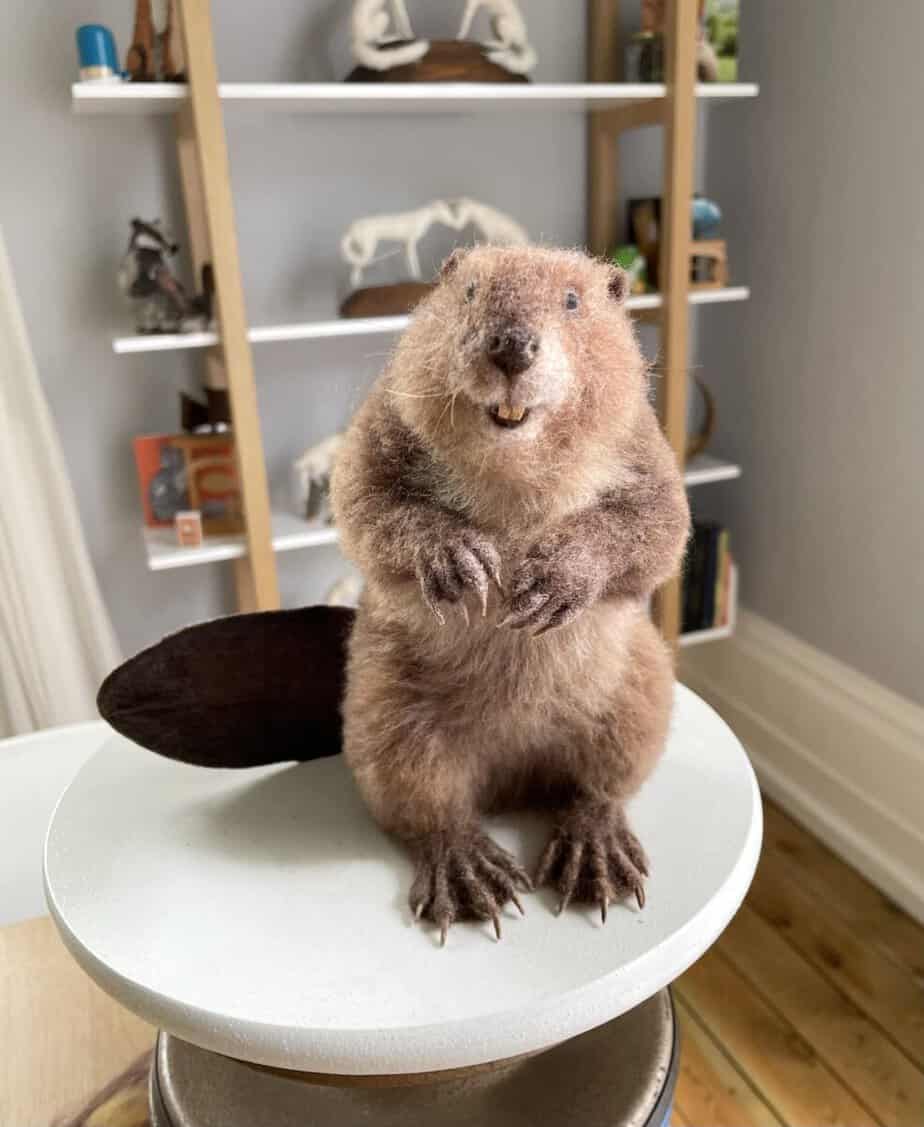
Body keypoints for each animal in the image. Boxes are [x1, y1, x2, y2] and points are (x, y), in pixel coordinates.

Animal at [329, 246, 689, 942]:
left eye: (573, 301)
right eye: (470, 290)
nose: (512, 346)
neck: (515, 464)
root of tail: (512, 782)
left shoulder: (641, 437)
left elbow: (659, 522)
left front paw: (547, 585)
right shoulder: (387, 415)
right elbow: (363, 496)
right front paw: (461, 563)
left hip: (638, 687)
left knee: (603, 785)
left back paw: (594, 857)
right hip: (386, 707)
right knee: (427, 806)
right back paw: (474, 877)